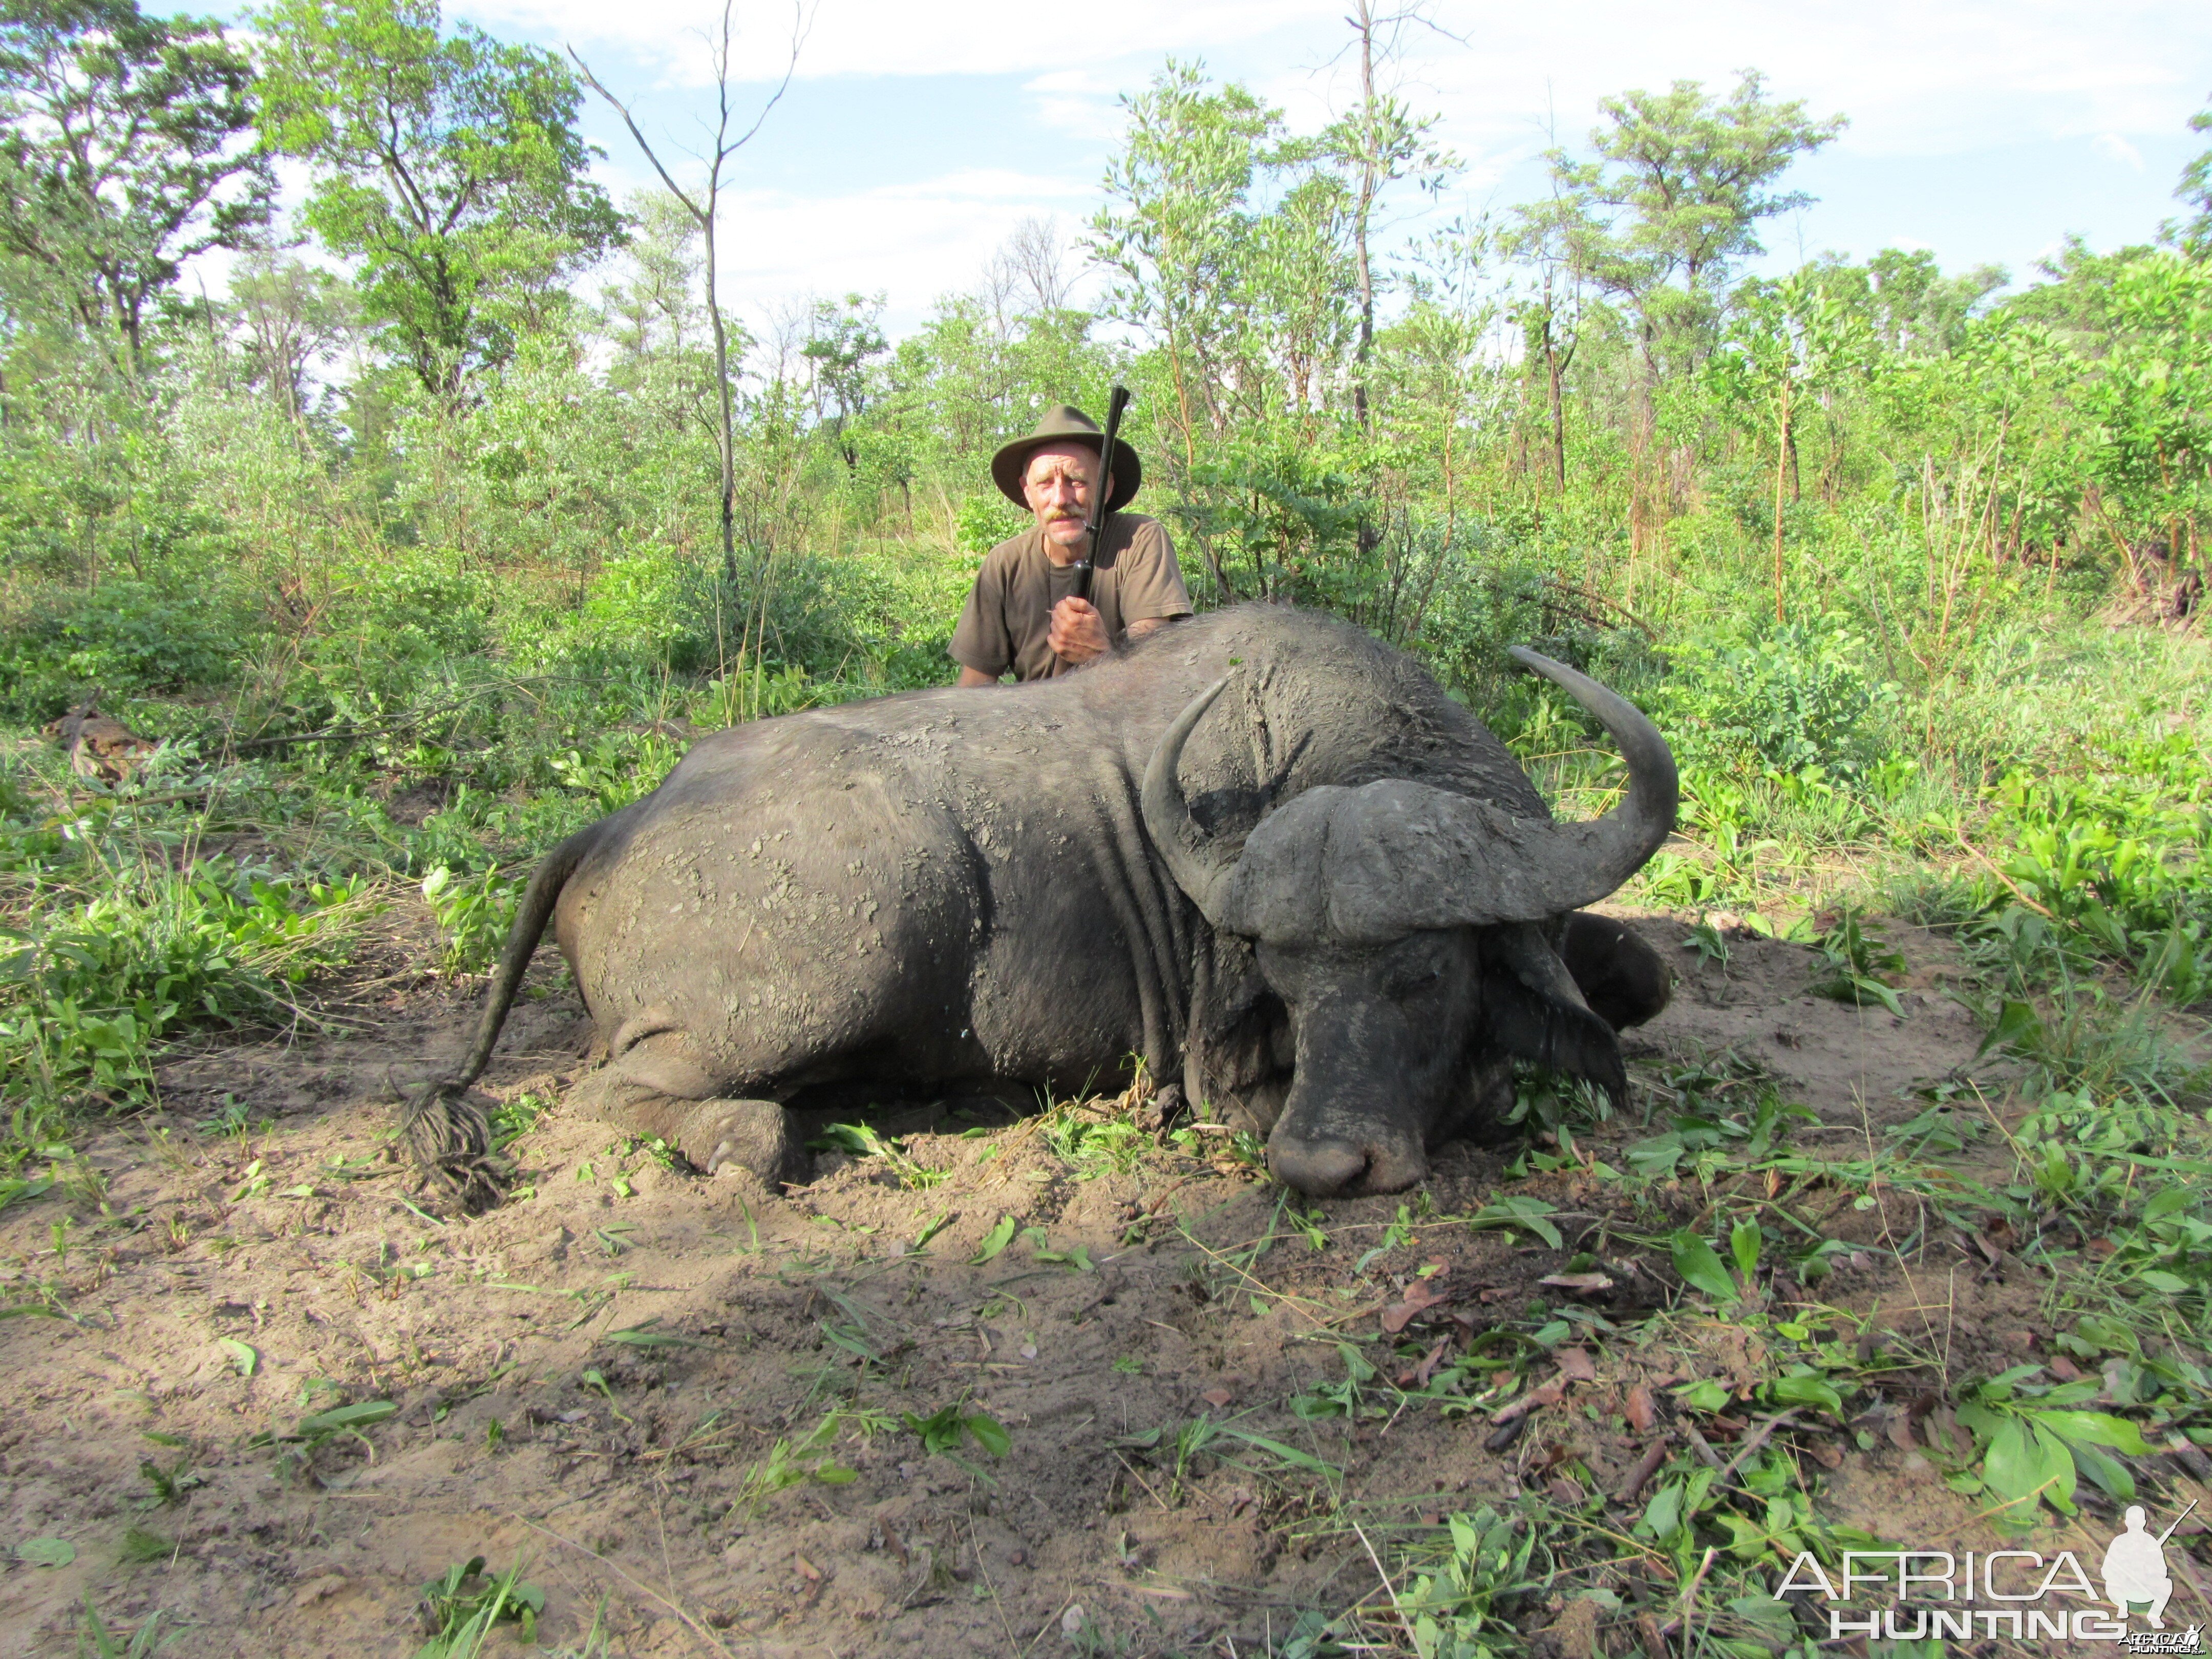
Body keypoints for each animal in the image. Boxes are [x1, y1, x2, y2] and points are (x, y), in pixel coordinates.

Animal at [407, 606, 1663, 1203]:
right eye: (1289, 985)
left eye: (1423, 972)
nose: (1322, 1164)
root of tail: (620, 822)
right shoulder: (1233, 1087)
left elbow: (1645, 972)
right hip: (848, 960)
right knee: (628, 1096)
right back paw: (751, 1134)